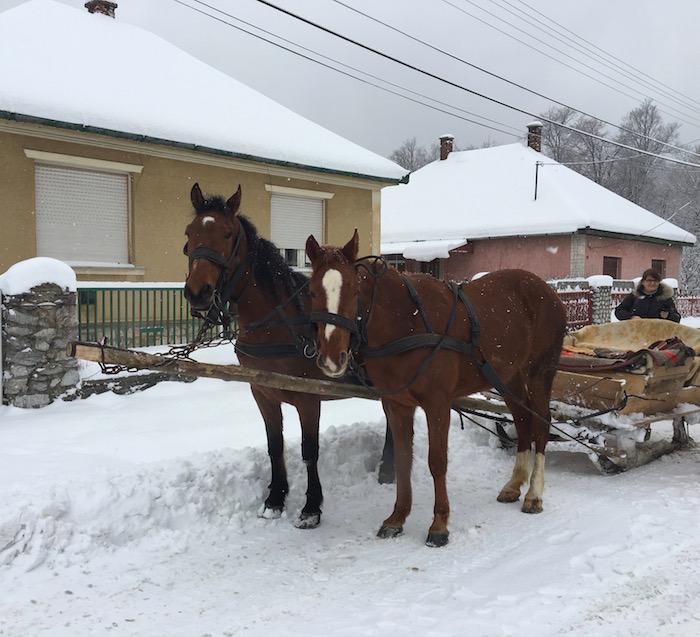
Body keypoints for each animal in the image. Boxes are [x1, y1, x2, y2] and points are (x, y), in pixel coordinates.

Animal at [182, 185, 394, 529]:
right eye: (190, 232)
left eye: (227, 234)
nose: (197, 292)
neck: (278, 325)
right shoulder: (263, 393)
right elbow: (275, 444)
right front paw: (275, 498)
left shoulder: (309, 399)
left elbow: (309, 450)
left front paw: (311, 506)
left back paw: (389, 468)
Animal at [305, 230, 567, 546]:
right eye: (311, 292)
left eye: (354, 292)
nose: (332, 358)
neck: (406, 320)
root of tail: (547, 290)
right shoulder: (397, 405)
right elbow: (403, 461)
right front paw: (397, 517)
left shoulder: (438, 403)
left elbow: (437, 461)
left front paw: (440, 524)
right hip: (509, 376)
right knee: (523, 420)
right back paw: (515, 484)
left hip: (541, 371)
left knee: (541, 424)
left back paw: (534, 494)